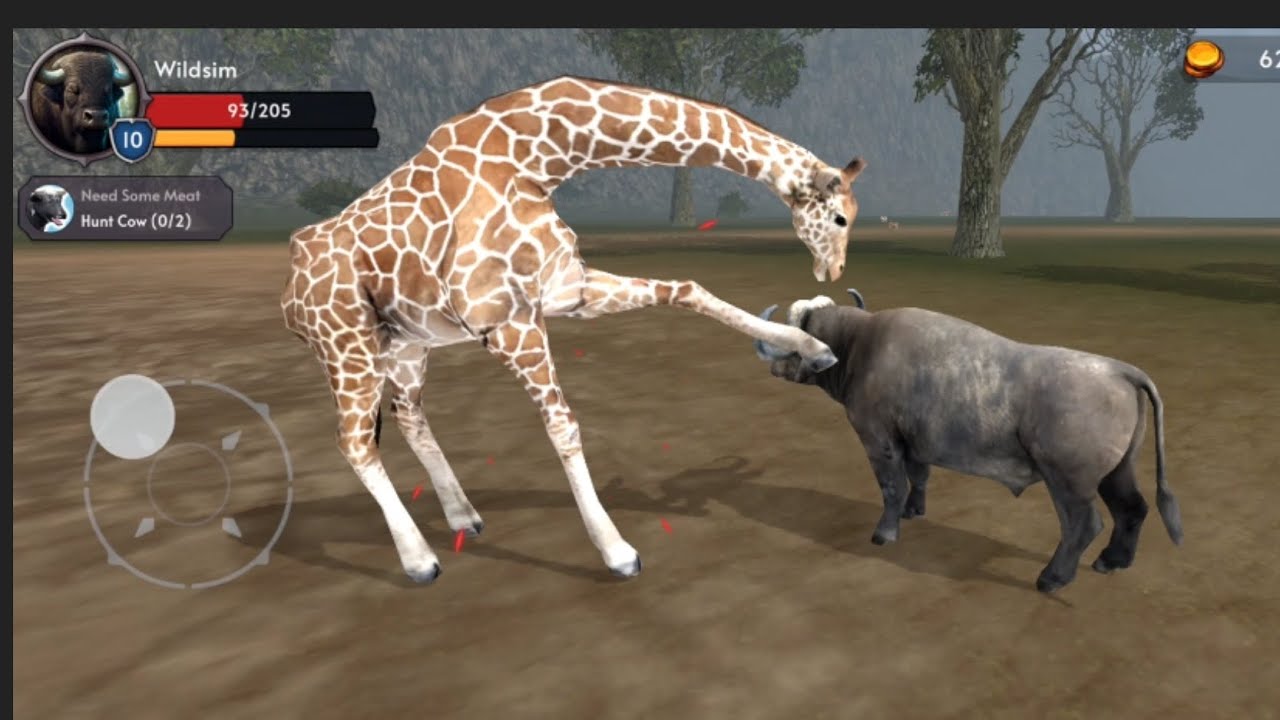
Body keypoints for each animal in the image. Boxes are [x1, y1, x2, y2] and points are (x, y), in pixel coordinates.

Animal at [281, 75, 868, 583]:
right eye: (841, 218)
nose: (834, 271)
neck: (539, 158)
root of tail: (289, 293)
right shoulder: (509, 320)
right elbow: (563, 427)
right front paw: (618, 551)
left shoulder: (568, 289)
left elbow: (687, 289)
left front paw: (813, 347)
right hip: (349, 349)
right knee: (355, 442)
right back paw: (420, 560)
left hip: (405, 346)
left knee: (409, 417)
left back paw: (463, 517)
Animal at [754, 290, 1183, 593]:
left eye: (796, 337)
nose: (773, 365)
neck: (859, 343)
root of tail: (1120, 370)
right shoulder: (914, 444)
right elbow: (918, 478)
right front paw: (914, 513)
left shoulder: (879, 441)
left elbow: (892, 487)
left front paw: (883, 535)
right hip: (1117, 472)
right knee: (1133, 509)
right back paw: (1112, 562)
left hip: (1069, 482)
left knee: (1083, 524)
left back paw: (1051, 579)